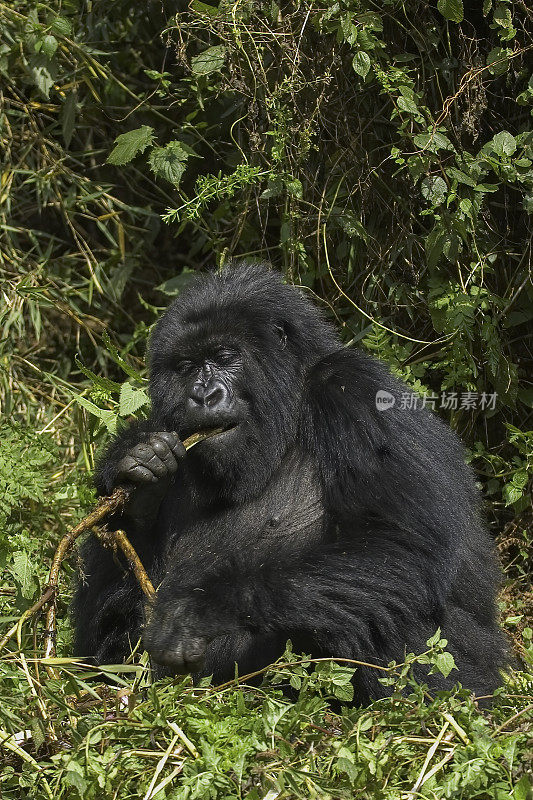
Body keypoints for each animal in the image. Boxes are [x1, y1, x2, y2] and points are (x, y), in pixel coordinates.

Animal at [72, 260, 504, 700]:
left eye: (225, 356)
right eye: (186, 367)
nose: (203, 395)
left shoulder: (354, 389)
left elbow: (399, 545)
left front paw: (203, 605)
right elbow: (102, 642)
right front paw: (142, 473)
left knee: (386, 598)